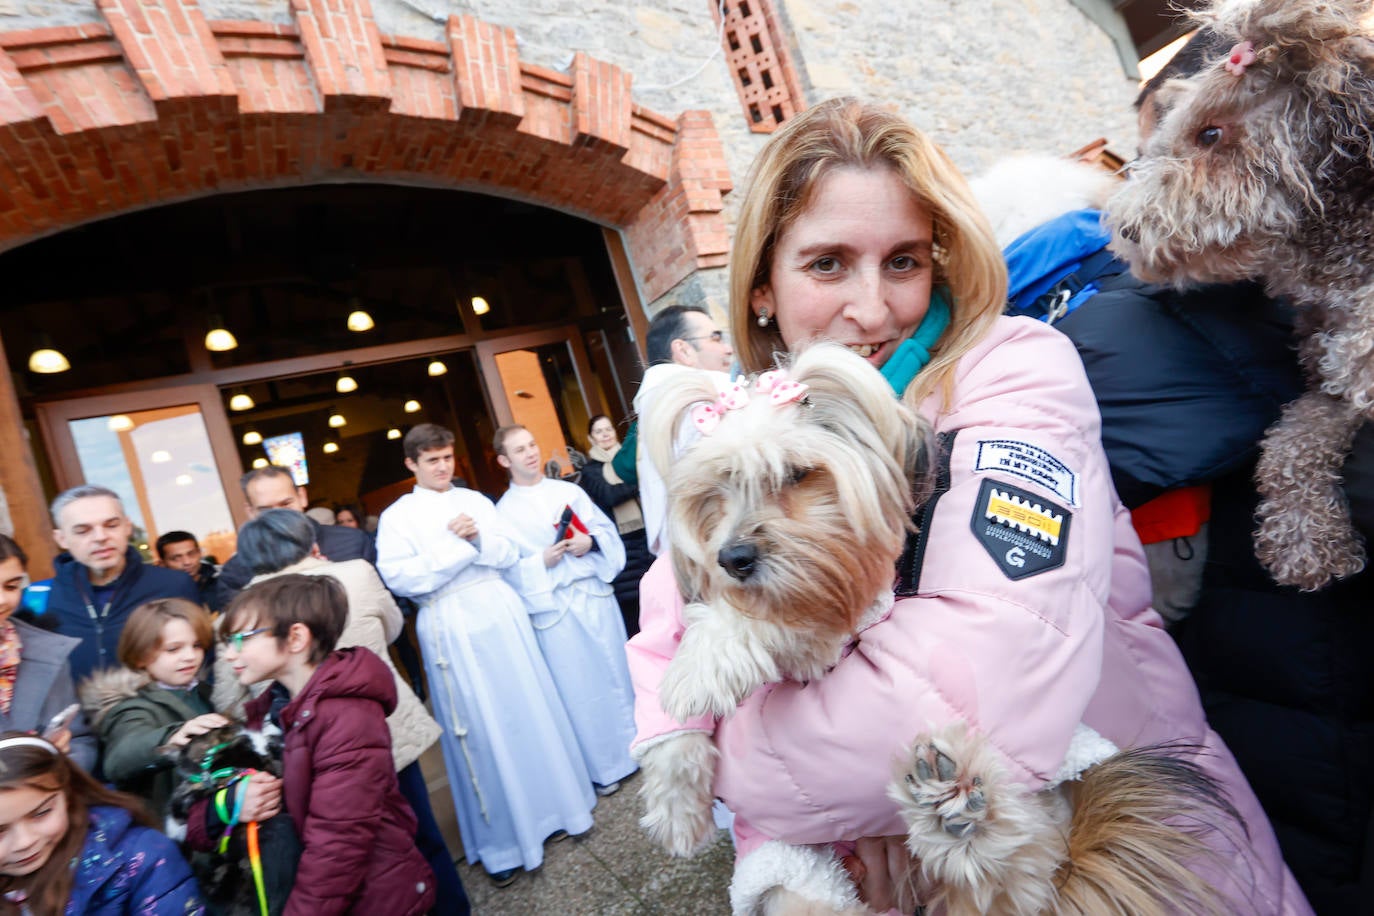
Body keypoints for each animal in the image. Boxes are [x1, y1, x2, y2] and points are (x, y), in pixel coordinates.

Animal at [643, 343, 1247, 916]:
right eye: (715, 492)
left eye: (796, 473)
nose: (732, 559)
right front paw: (675, 802)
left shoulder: (830, 621)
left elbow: (779, 621)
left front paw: (703, 663)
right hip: (802, 880)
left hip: (1043, 809)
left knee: (1019, 882)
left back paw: (959, 814)